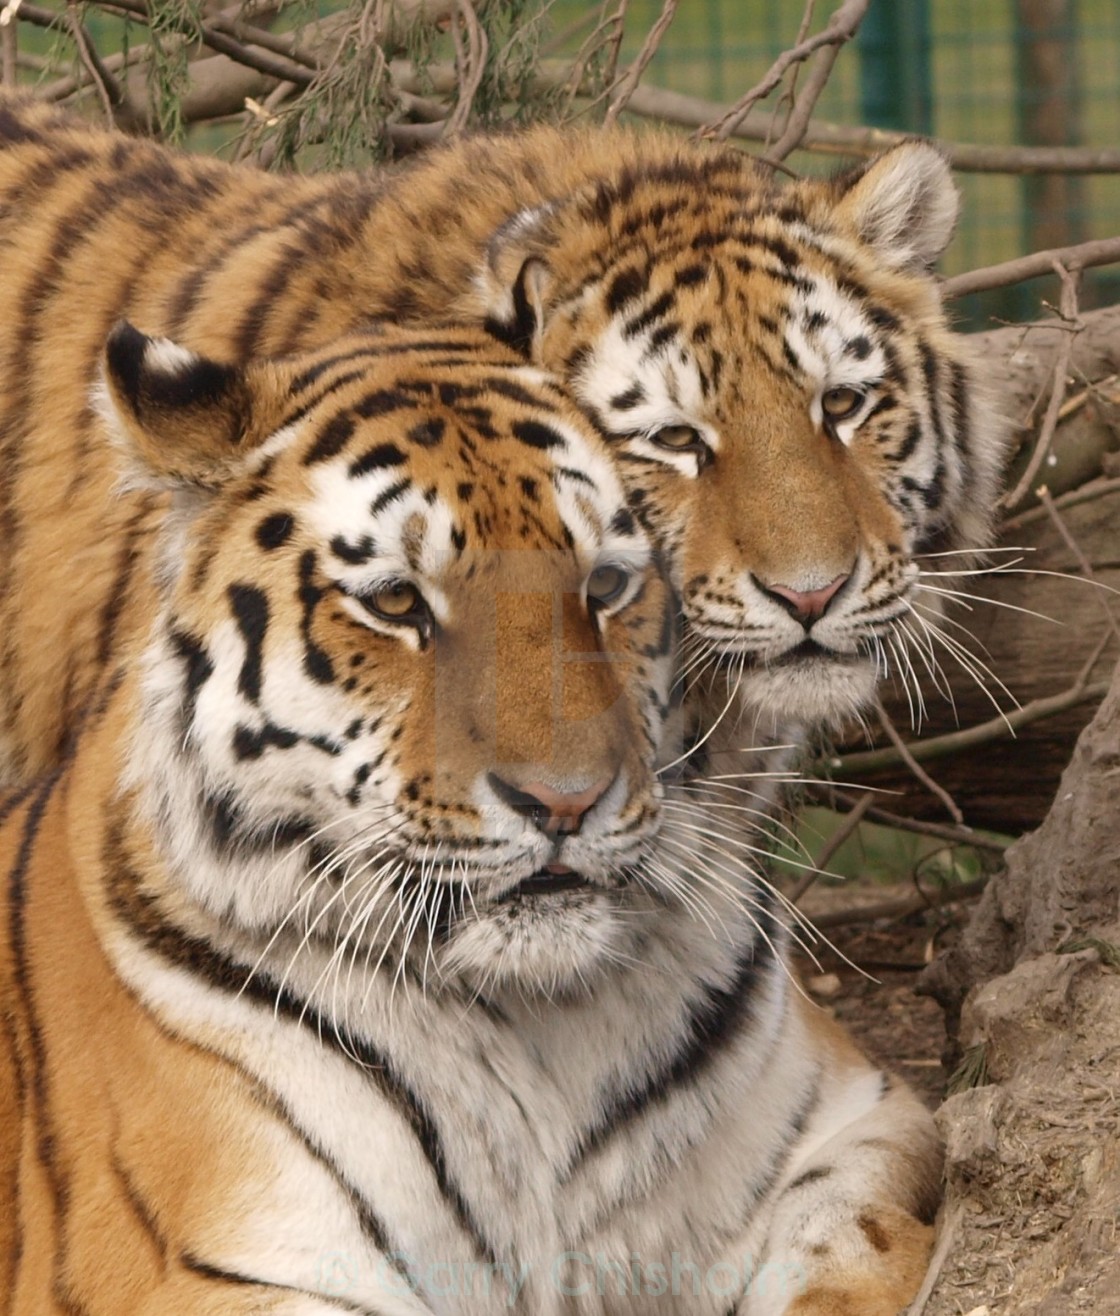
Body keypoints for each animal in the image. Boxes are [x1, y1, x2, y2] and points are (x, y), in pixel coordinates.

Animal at [2, 321, 937, 1316]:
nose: (565, 802)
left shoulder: (859, 1120)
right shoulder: (221, 1267)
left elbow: (847, 1247)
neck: (537, 1028)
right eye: (396, 600)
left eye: (607, 584)